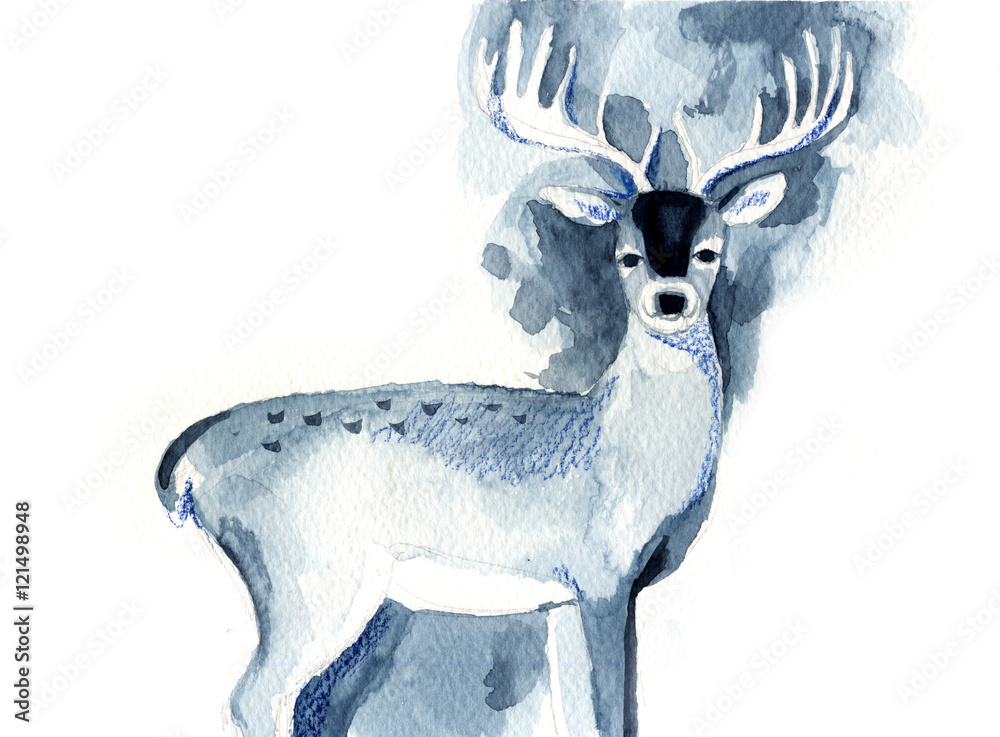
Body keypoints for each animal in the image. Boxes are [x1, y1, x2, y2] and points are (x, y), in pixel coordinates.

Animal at [155, 19, 853, 737]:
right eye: (626, 254)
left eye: (712, 249)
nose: (671, 299)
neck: (621, 448)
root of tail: (185, 466)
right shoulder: (602, 574)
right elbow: (613, 711)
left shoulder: (560, 597)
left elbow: (576, 712)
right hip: (309, 573)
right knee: (255, 695)